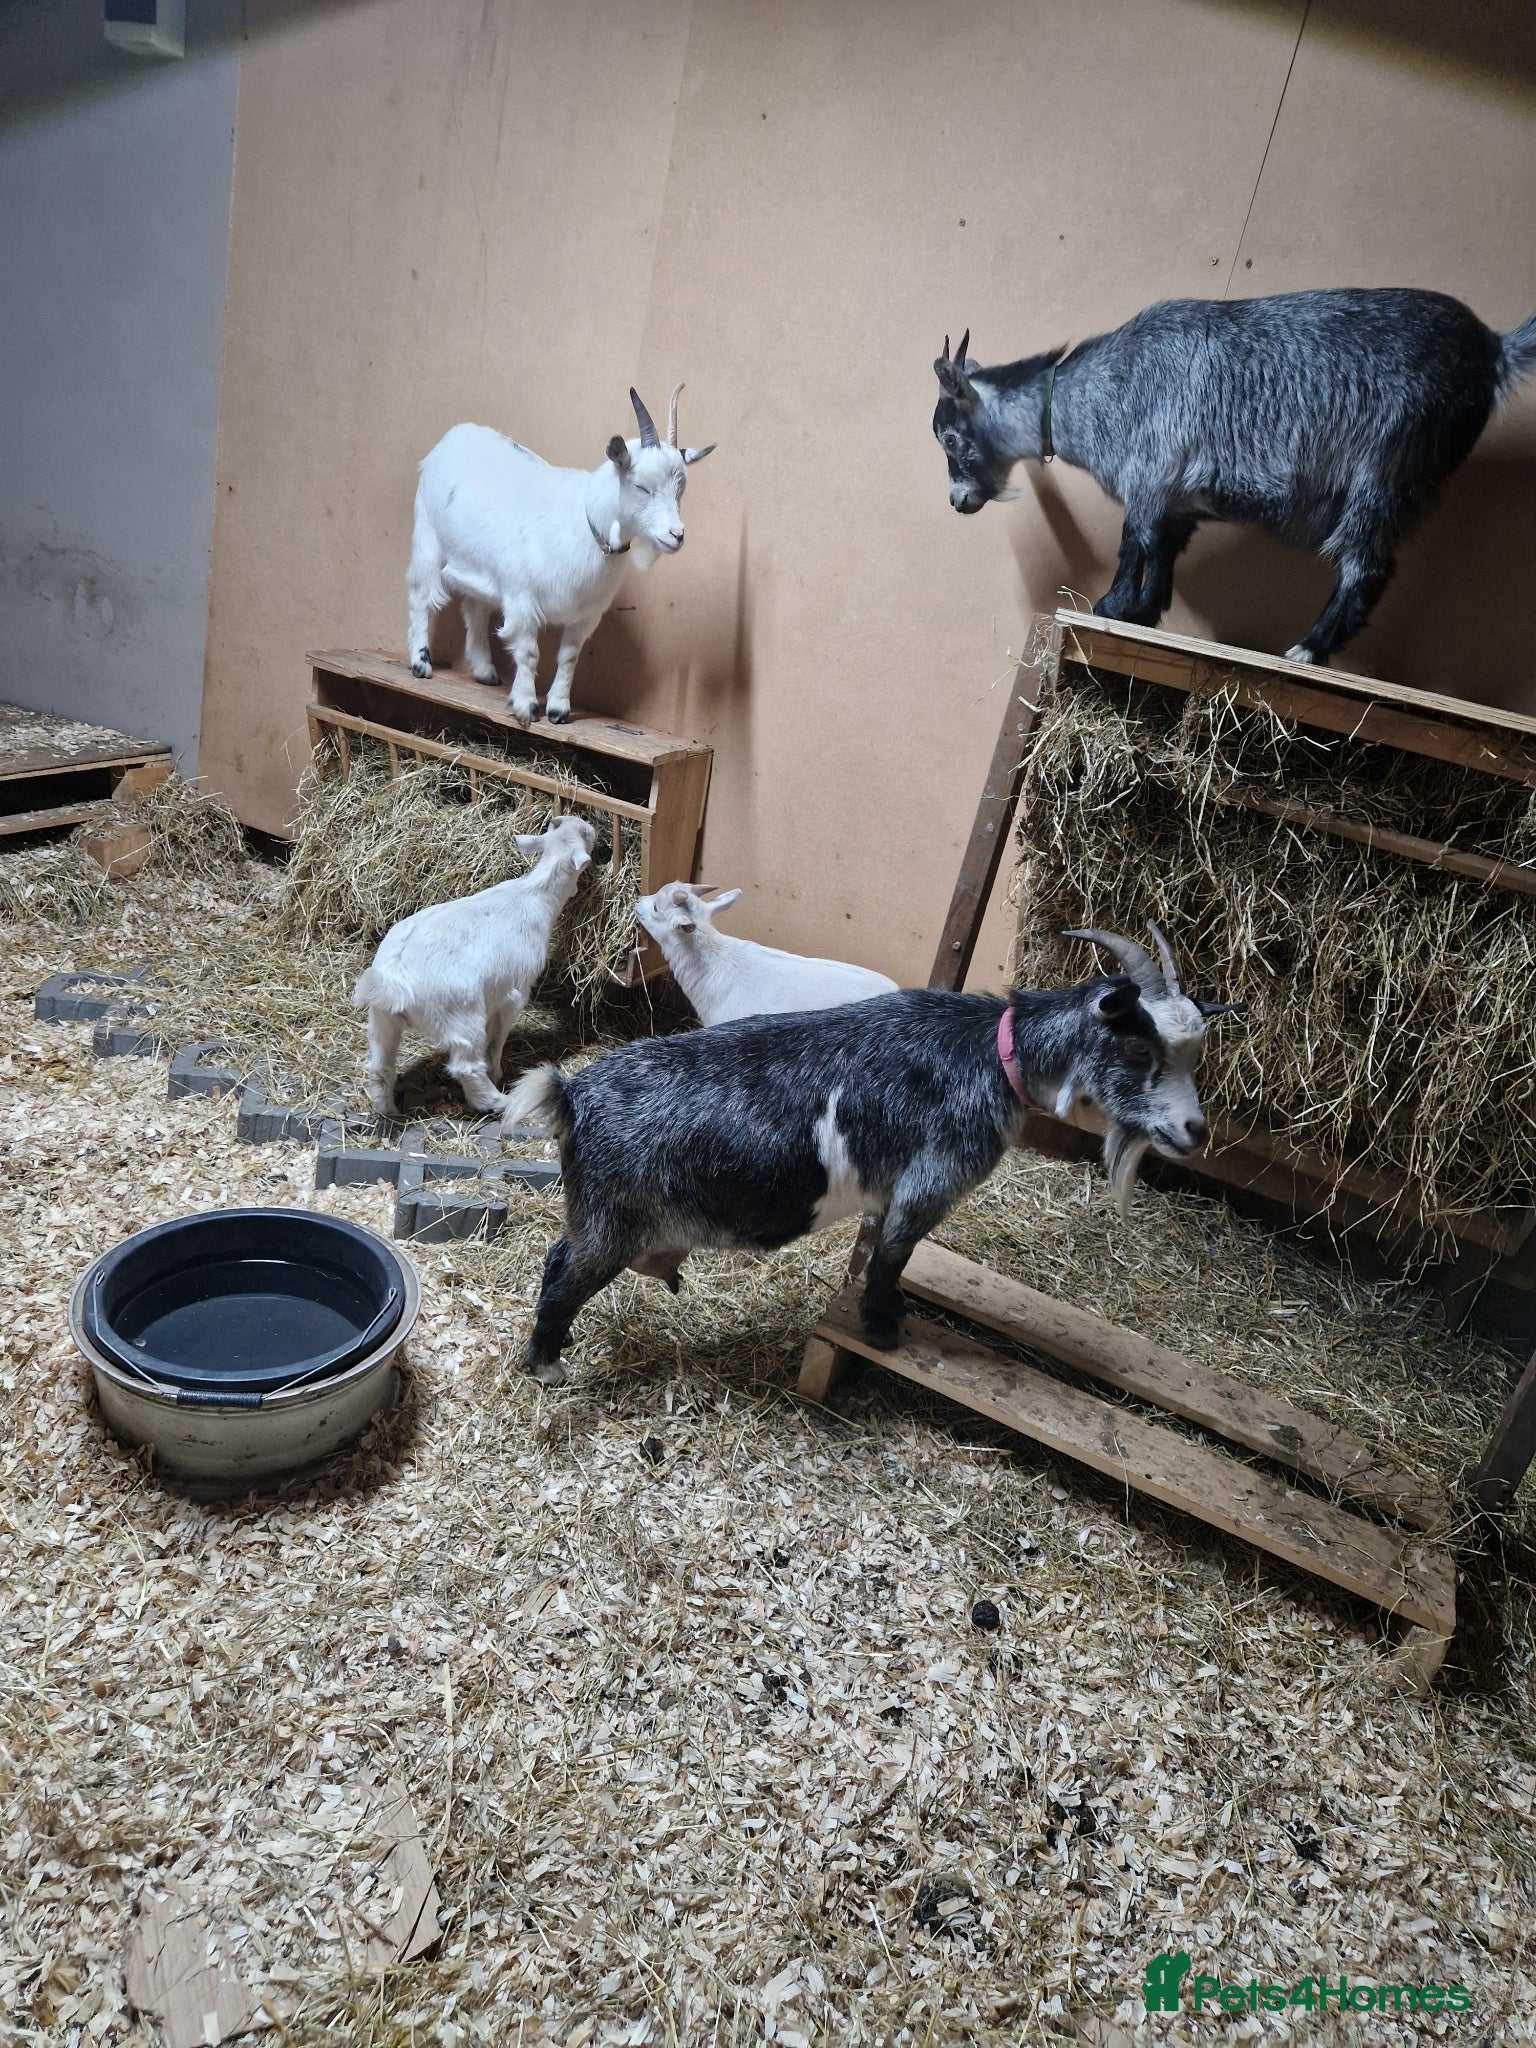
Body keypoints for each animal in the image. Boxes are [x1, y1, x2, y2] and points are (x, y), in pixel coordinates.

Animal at [352, 814, 595, 1118]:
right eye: (585, 833)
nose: (592, 827)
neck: (533, 895)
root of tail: (397, 981)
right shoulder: (516, 991)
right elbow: (498, 1035)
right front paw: (497, 1069)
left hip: (381, 1019)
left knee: (380, 1065)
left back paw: (388, 1109)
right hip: (461, 1017)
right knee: (466, 1067)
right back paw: (498, 1100)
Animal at [407, 385, 715, 726]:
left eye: (680, 490)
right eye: (641, 486)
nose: (676, 535)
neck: (586, 522)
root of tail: (455, 435)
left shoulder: (585, 616)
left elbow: (569, 657)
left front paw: (558, 710)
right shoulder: (522, 599)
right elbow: (529, 652)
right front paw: (526, 706)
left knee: (475, 608)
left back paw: (484, 671)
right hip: (427, 537)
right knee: (420, 595)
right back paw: (421, 663)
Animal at [504, 922, 1234, 1383]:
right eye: (1138, 1045)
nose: (1194, 1131)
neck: (994, 1053)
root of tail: (574, 1094)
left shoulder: (891, 1190)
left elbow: (881, 1245)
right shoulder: (932, 1179)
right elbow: (893, 1255)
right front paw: (883, 1326)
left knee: (556, 1255)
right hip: (614, 1222)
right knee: (565, 1274)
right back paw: (548, 1365)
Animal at [933, 289, 1536, 665]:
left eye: (949, 437)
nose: (958, 501)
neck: (1096, 393)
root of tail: (1493, 348)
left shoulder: (1147, 474)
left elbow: (1134, 543)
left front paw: (1111, 607)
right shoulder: (1177, 500)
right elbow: (1165, 552)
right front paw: (1145, 612)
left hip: (1388, 467)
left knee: (1367, 564)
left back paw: (1310, 648)